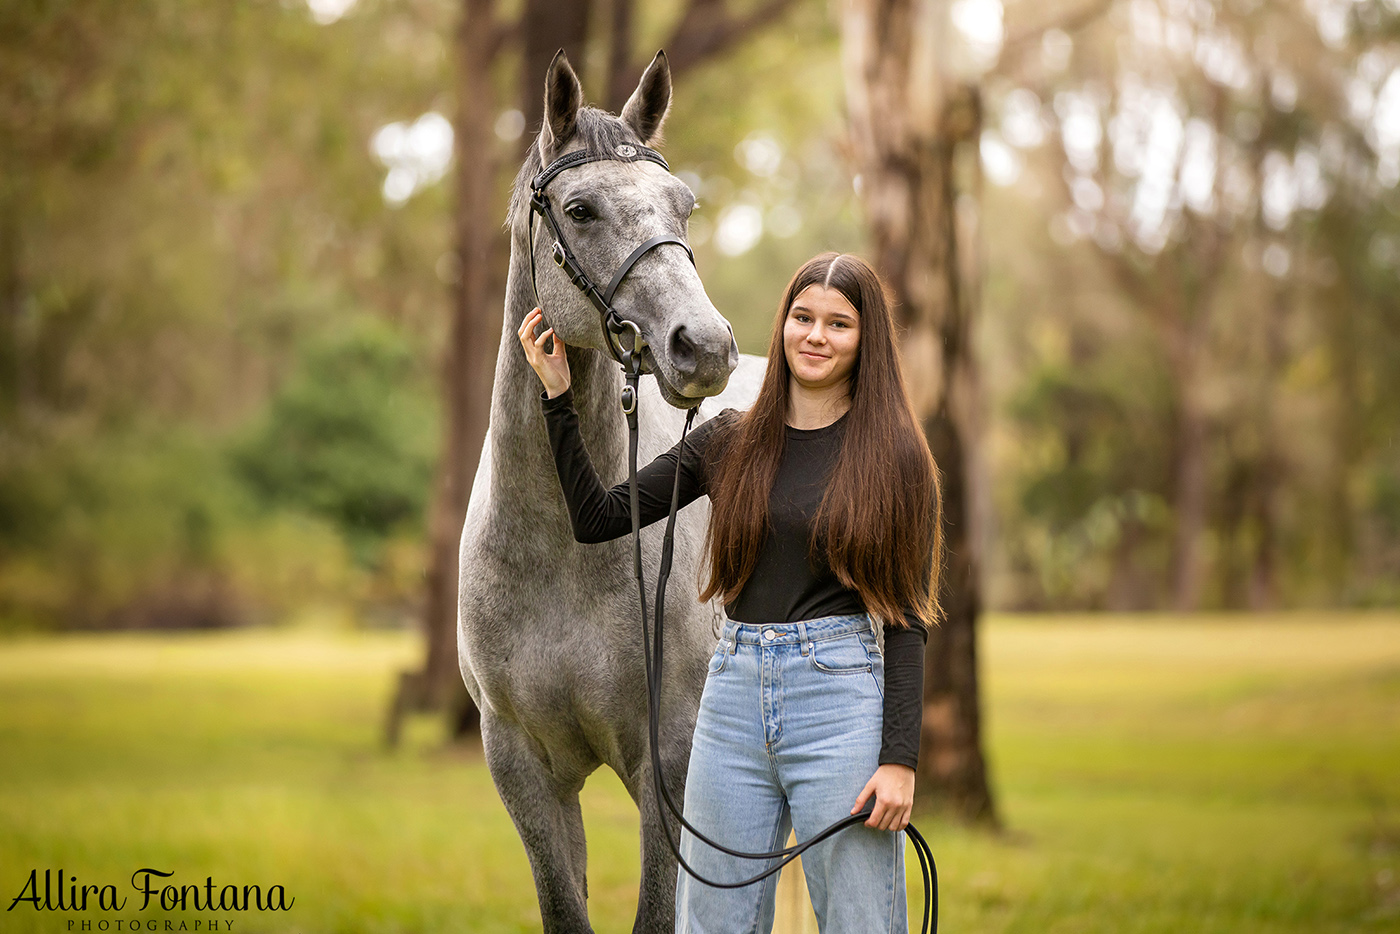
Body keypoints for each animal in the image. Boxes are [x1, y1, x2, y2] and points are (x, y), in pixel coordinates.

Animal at [459, 52, 767, 934]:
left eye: (684, 206)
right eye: (580, 208)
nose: (704, 346)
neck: (558, 550)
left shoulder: (670, 759)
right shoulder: (521, 767)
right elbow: (565, 909)